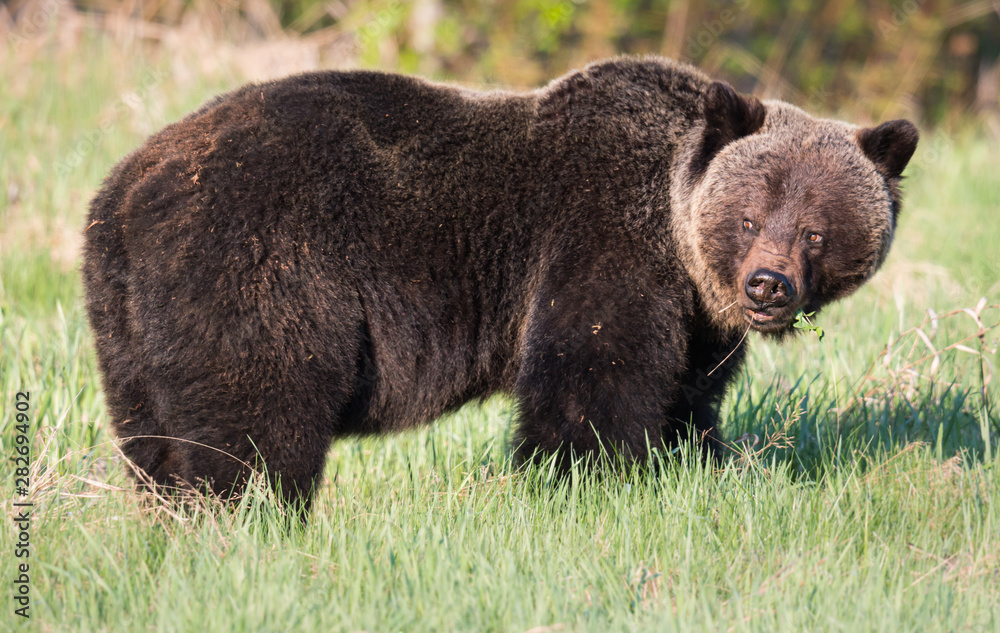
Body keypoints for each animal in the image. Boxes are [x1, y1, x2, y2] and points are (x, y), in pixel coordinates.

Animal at [82, 56, 916, 512]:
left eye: (817, 230)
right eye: (749, 216)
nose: (768, 286)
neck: (679, 244)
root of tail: (124, 188)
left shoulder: (698, 323)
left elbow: (690, 396)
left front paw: (698, 460)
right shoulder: (603, 239)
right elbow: (589, 378)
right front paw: (587, 479)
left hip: (129, 322)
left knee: (153, 437)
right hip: (258, 264)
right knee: (254, 415)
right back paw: (253, 514)